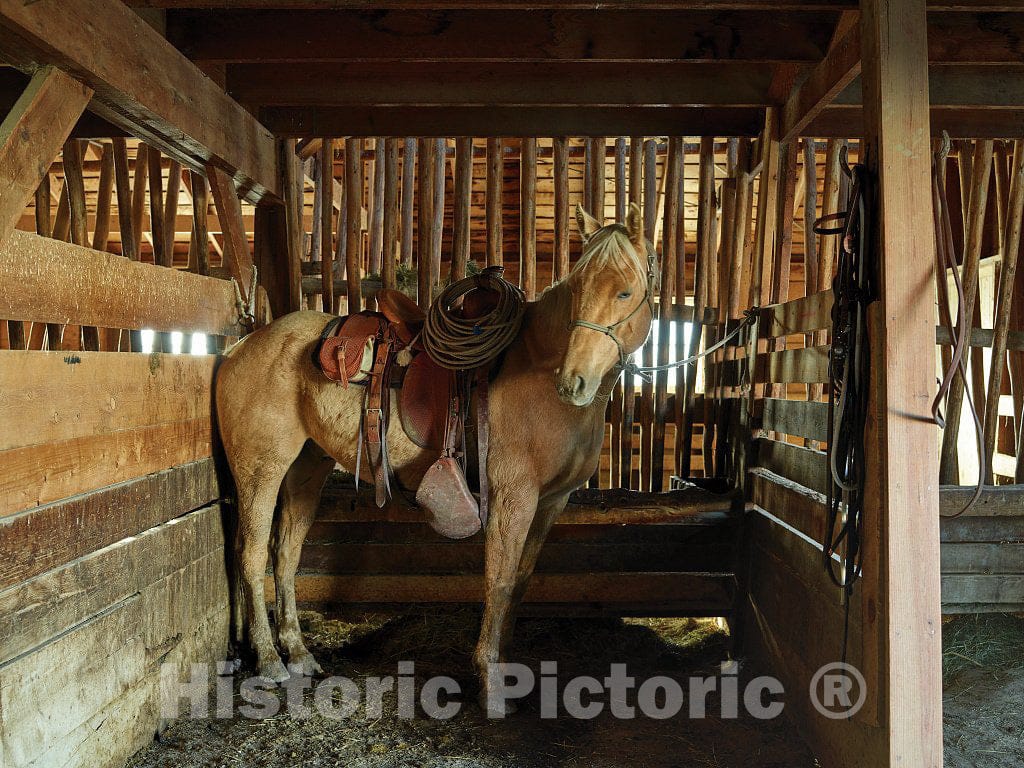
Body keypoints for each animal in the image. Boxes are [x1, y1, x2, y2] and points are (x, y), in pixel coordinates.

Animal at [215, 202, 656, 713]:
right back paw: (269, 661)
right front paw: (491, 685)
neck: (540, 372)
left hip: (306, 470)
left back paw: (300, 653)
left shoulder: (551, 503)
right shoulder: (513, 500)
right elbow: (499, 581)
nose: (574, 381)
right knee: (249, 554)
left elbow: (521, 581)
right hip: (261, 469)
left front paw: (508, 668)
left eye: (625, 291)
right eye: (577, 288)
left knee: (285, 553)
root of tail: (242, 345)